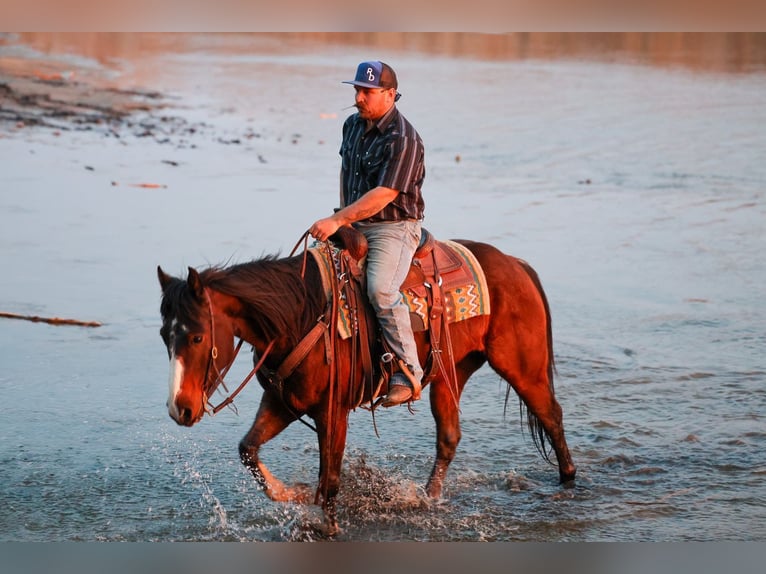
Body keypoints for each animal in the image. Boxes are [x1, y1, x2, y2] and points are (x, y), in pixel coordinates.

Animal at [157, 234, 576, 535]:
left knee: (551, 417)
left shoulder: (332, 412)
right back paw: (428, 499)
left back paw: (569, 482)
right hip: (451, 374)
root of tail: (516, 264)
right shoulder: (283, 402)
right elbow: (248, 449)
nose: (180, 409)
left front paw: (327, 526)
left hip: (523, 368)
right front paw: (292, 494)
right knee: (449, 437)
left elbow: (330, 479)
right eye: (165, 335)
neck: (300, 315)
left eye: (196, 336)